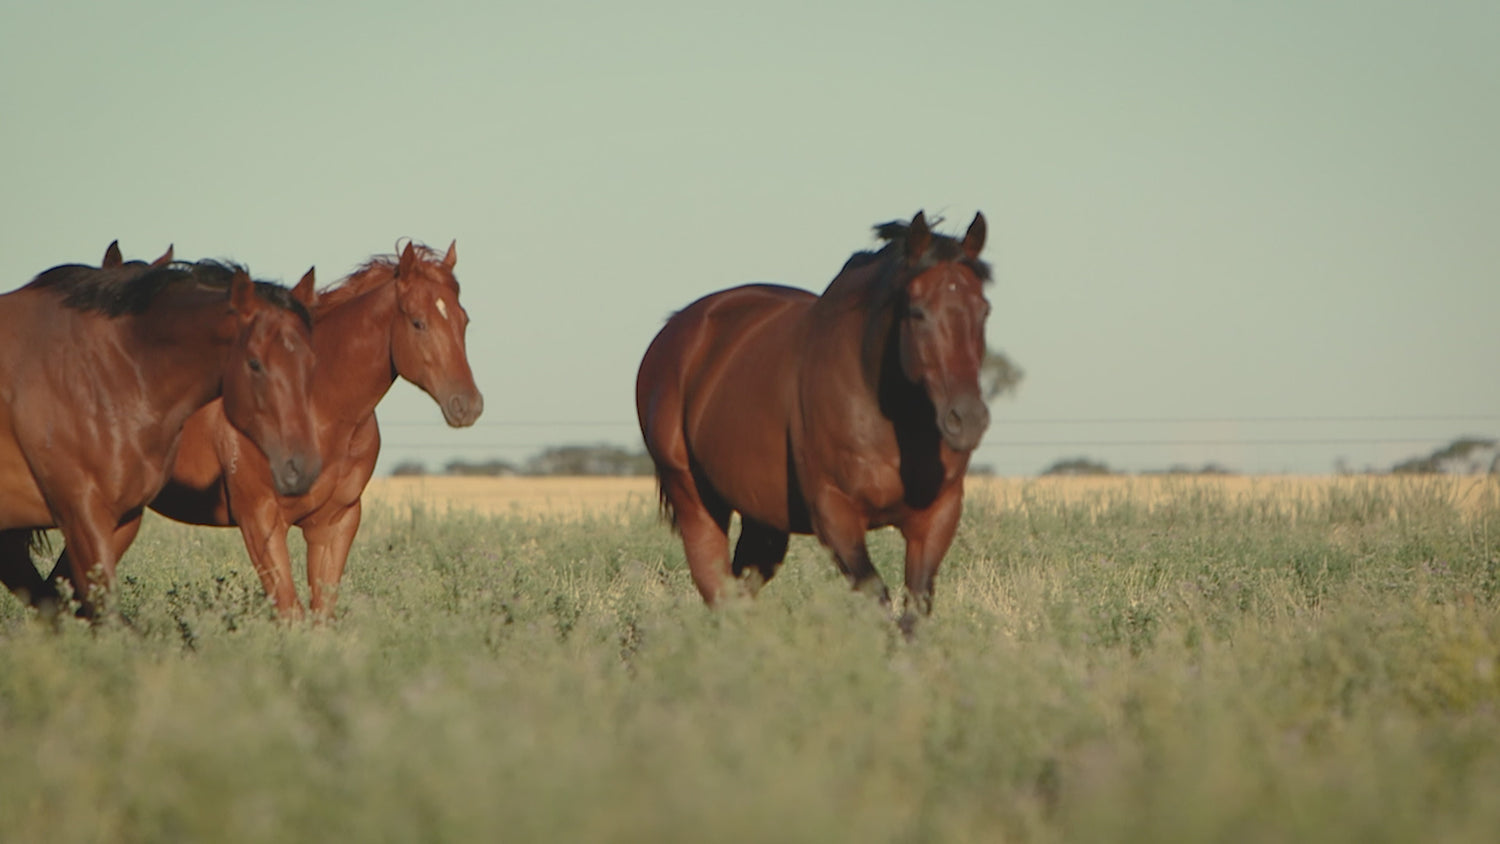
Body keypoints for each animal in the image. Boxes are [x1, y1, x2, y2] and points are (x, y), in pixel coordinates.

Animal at [51, 239, 480, 620]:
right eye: (418, 322)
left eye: (464, 320)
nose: (469, 404)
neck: (319, 410)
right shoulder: (260, 521)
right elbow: (290, 613)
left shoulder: (335, 524)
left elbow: (320, 617)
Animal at [636, 211, 996, 635]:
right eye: (916, 311)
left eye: (984, 310)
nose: (967, 419)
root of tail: (676, 329)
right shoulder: (834, 513)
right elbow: (876, 598)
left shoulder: (938, 515)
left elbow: (914, 612)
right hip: (694, 499)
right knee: (717, 588)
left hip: (763, 519)